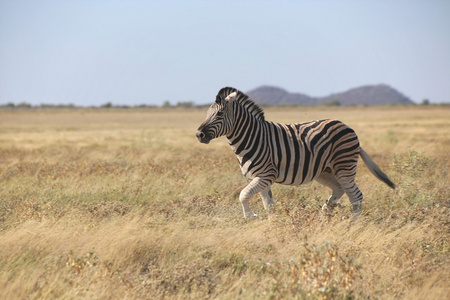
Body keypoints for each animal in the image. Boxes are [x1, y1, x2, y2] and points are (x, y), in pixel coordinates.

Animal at [195, 86, 396, 218]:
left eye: (220, 115)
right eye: (206, 114)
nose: (199, 134)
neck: (252, 137)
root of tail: (348, 127)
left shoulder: (266, 174)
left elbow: (243, 194)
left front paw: (251, 216)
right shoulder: (260, 177)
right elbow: (268, 204)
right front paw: (272, 223)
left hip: (344, 167)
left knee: (356, 196)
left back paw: (353, 222)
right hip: (324, 171)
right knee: (339, 189)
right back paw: (326, 211)